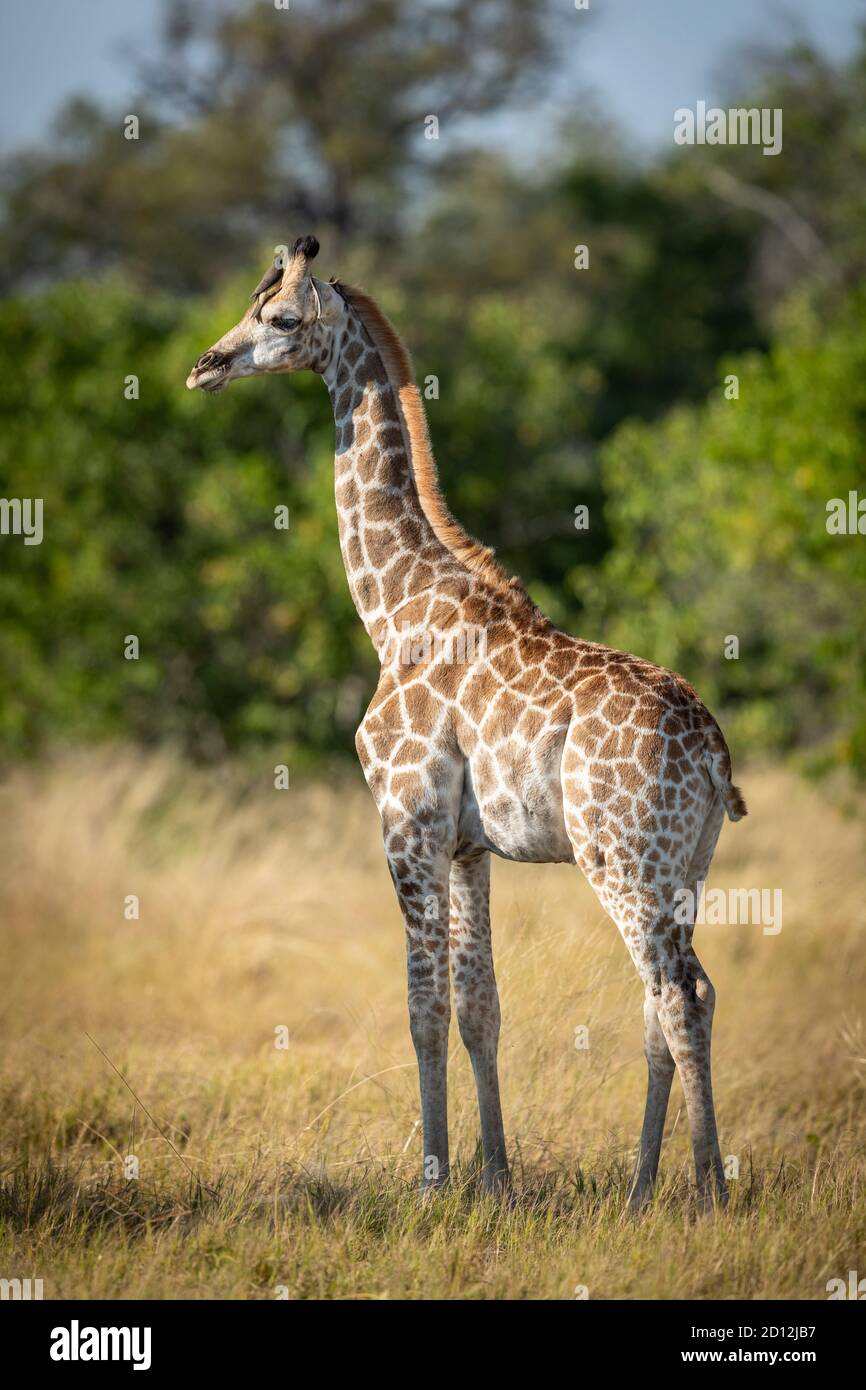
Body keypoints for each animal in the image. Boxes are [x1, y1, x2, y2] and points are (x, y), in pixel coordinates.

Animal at [187, 235, 747, 1206]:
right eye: (248, 307)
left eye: (282, 317)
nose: (206, 366)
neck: (395, 608)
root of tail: (713, 754)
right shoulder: (468, 844)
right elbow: (481, 1005)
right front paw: (497, 1178)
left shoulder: (406, 821)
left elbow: (423, 1006)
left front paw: (432, 1181)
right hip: (688, 865)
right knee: (680, 995)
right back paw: (642, 1189)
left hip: (621, 858)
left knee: (676, 996)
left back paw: (708, 1190)